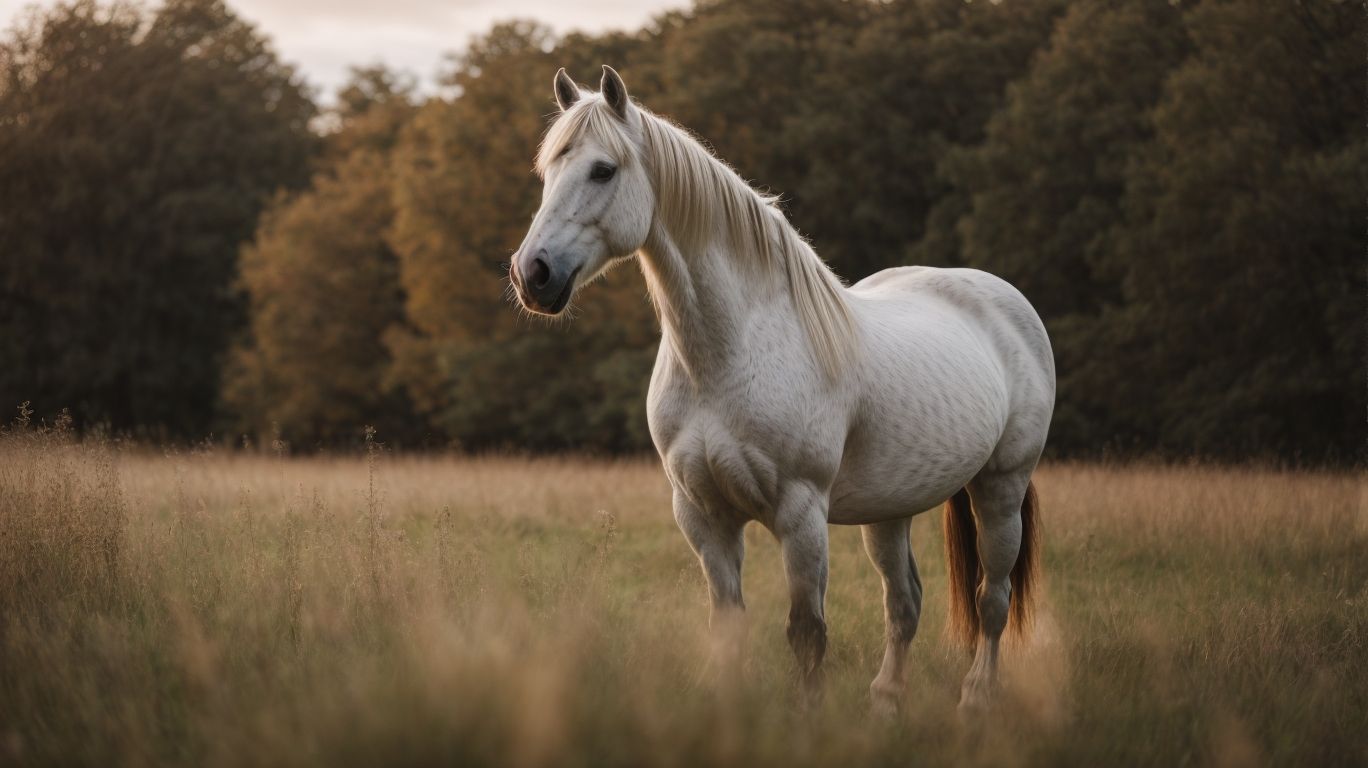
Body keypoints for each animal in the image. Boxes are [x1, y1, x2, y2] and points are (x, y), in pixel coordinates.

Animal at [508, 66, 1055, 716]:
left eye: (602, 170)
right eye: (547, 171)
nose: (532, 275)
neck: (725, 357)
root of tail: (1001, 297)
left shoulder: (801, 514)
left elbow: (806, 633)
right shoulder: (703, 514)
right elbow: (727, 626)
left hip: (1000, 487)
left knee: (992, 600)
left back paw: (974, 702)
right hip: (890, 510)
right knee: (904, 603)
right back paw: (885, 703)